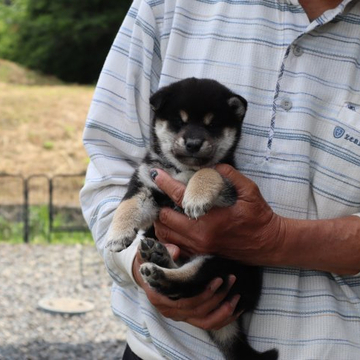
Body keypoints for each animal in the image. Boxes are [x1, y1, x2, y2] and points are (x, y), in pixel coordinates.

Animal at [105, 79, 278, 360]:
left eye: (212, 124)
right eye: (179, 121)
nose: (194, 143)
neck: (182, 170)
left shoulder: (228, 186)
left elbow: (208, 171)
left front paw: (196, 197)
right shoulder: (147, 182)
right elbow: (127, 206)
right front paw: (117, 233)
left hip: (222, 263)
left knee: (188, 282)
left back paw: (159, 273)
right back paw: (158, 255)